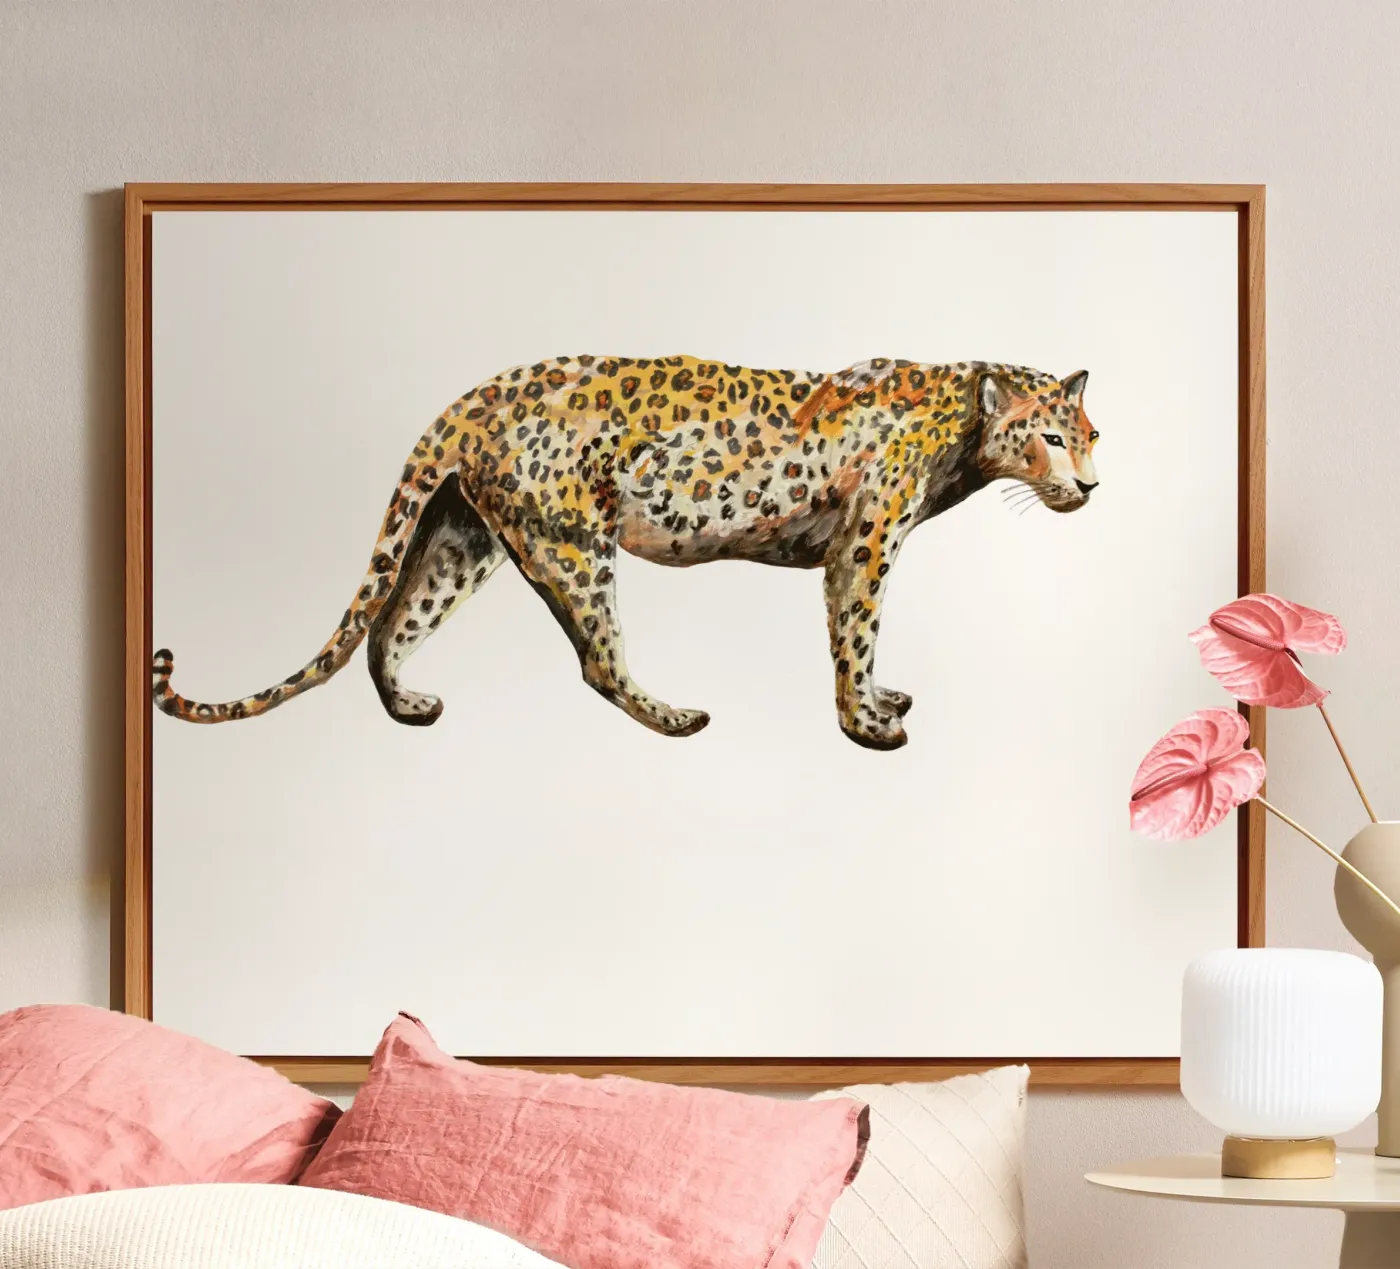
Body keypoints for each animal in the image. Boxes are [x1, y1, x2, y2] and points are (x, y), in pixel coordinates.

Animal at [152, 355, 1099, 751]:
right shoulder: (863, 546)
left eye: (1092, 435)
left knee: (392, 625)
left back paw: (410, 706)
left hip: (464, 538)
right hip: (573, 545)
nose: (1092, 485)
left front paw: (881, 698)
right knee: (598, 661)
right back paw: (676, 717)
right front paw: (866, 723)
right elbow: (855, 634)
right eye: (1051, 437)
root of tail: (469, 398)